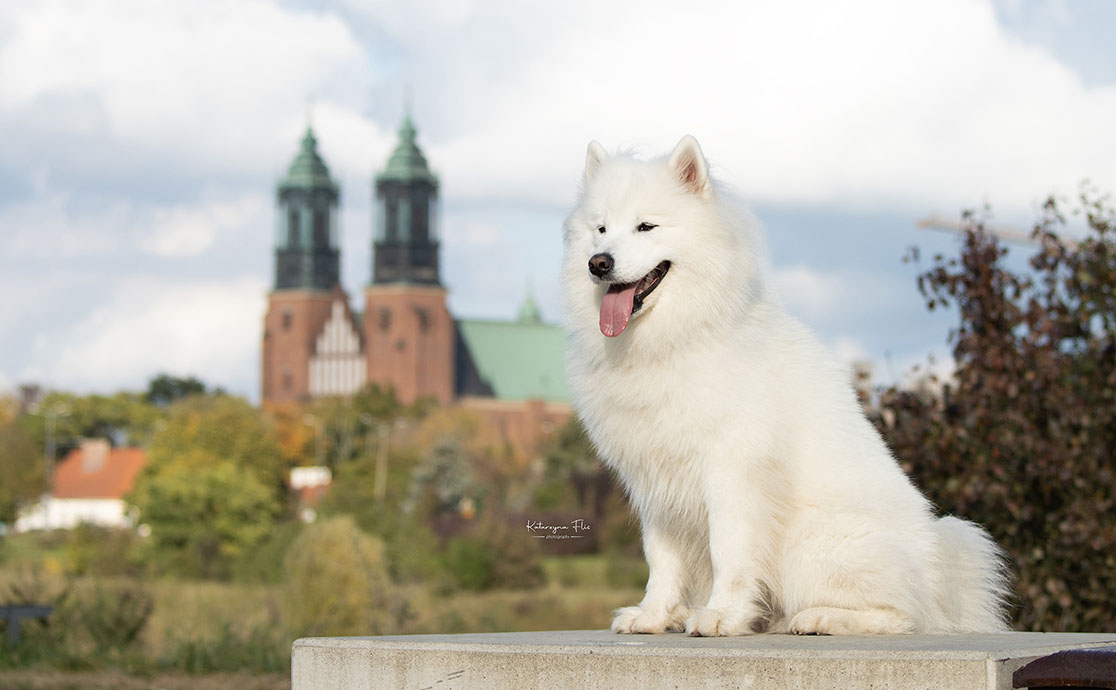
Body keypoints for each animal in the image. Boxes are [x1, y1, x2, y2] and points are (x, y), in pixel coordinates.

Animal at [562, 134, 1008, 634]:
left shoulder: (732, 473)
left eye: (646, 226)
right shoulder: (654, 483)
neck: (677, 338)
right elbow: (661, 559)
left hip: (813, 541)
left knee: (904, 616)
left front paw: (721, 616)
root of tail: (940, 580)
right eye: (601, 229)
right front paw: (655, 616)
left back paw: (819, 618)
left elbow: (729, 553)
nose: (599, 263)